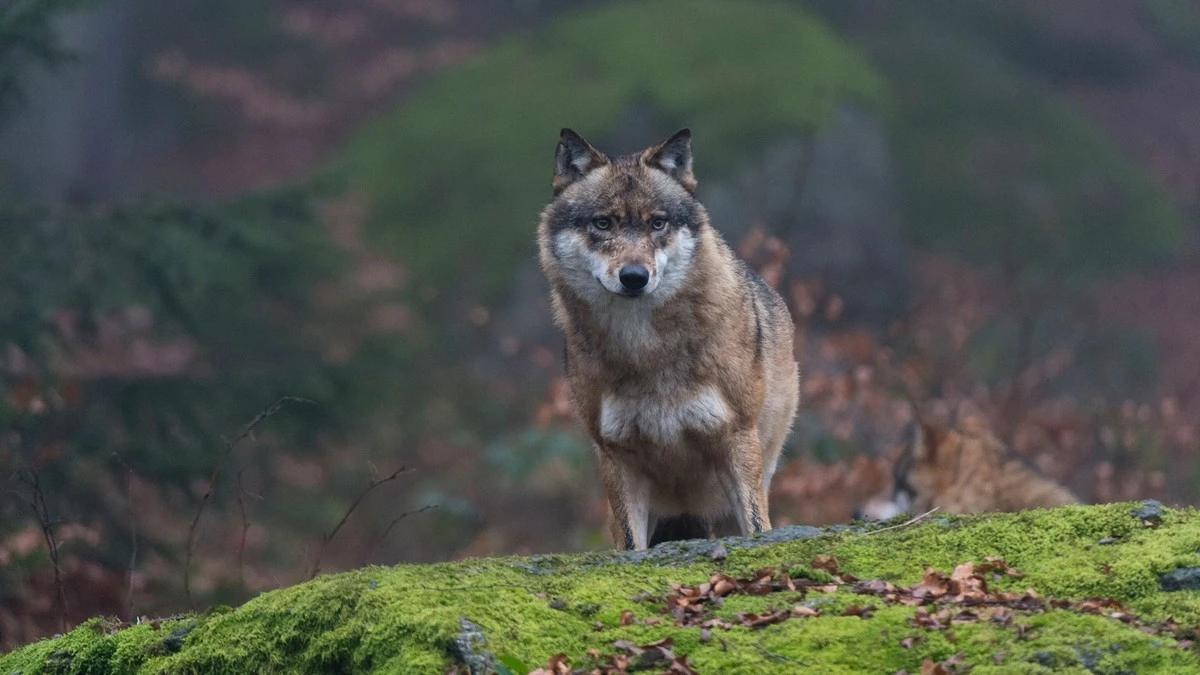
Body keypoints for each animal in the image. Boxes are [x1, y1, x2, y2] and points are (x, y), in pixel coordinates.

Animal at [537, 128, 801, 551]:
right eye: (603, 223)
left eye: (657, 223)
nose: (634, 277)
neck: (645, 349)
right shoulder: (616, 455)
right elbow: (632, 546)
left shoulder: (737, 438)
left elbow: (757, 527)